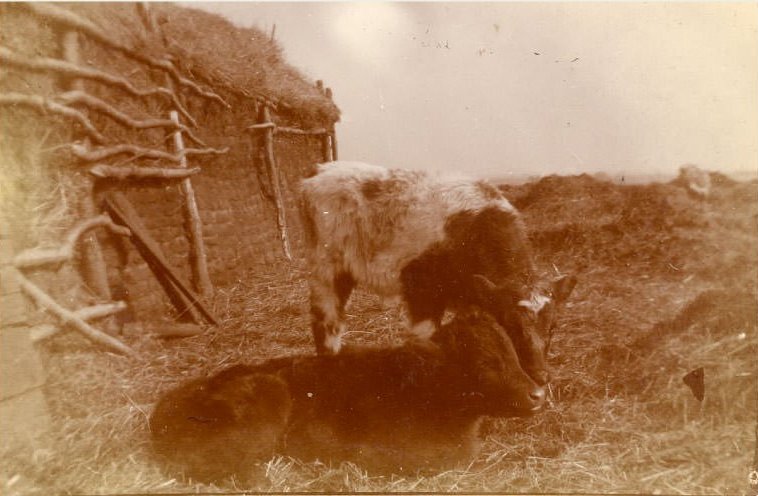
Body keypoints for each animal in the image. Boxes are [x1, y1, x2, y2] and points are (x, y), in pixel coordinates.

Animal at [299, 161, 577, 385]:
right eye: (510, 324)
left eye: (553, 327)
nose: (540, 375)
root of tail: (320, 170)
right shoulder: (423, 295)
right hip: (326, 269)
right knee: (326, 324)